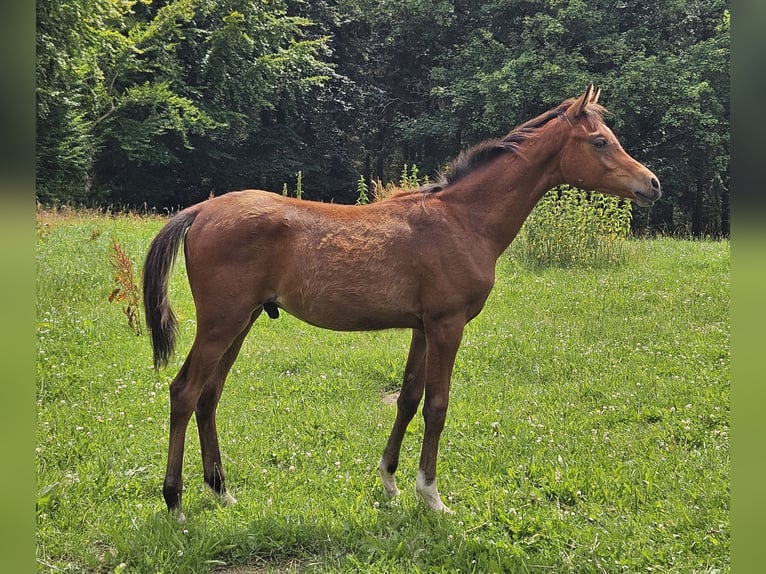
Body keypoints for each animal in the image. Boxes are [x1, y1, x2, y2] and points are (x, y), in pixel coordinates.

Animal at [142, 85, 660, 520]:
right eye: (600, 142)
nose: (651, 183)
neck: (464, 220)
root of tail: (201, 210)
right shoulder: (448, 325)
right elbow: (437, 406)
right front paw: (430, 495)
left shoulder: (421, 327)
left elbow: (409, 398)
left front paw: (390, 482)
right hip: (221, 323)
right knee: (184, 391)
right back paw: (175, 502)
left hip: (243, 320)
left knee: (209, 395)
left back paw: (221, 491)